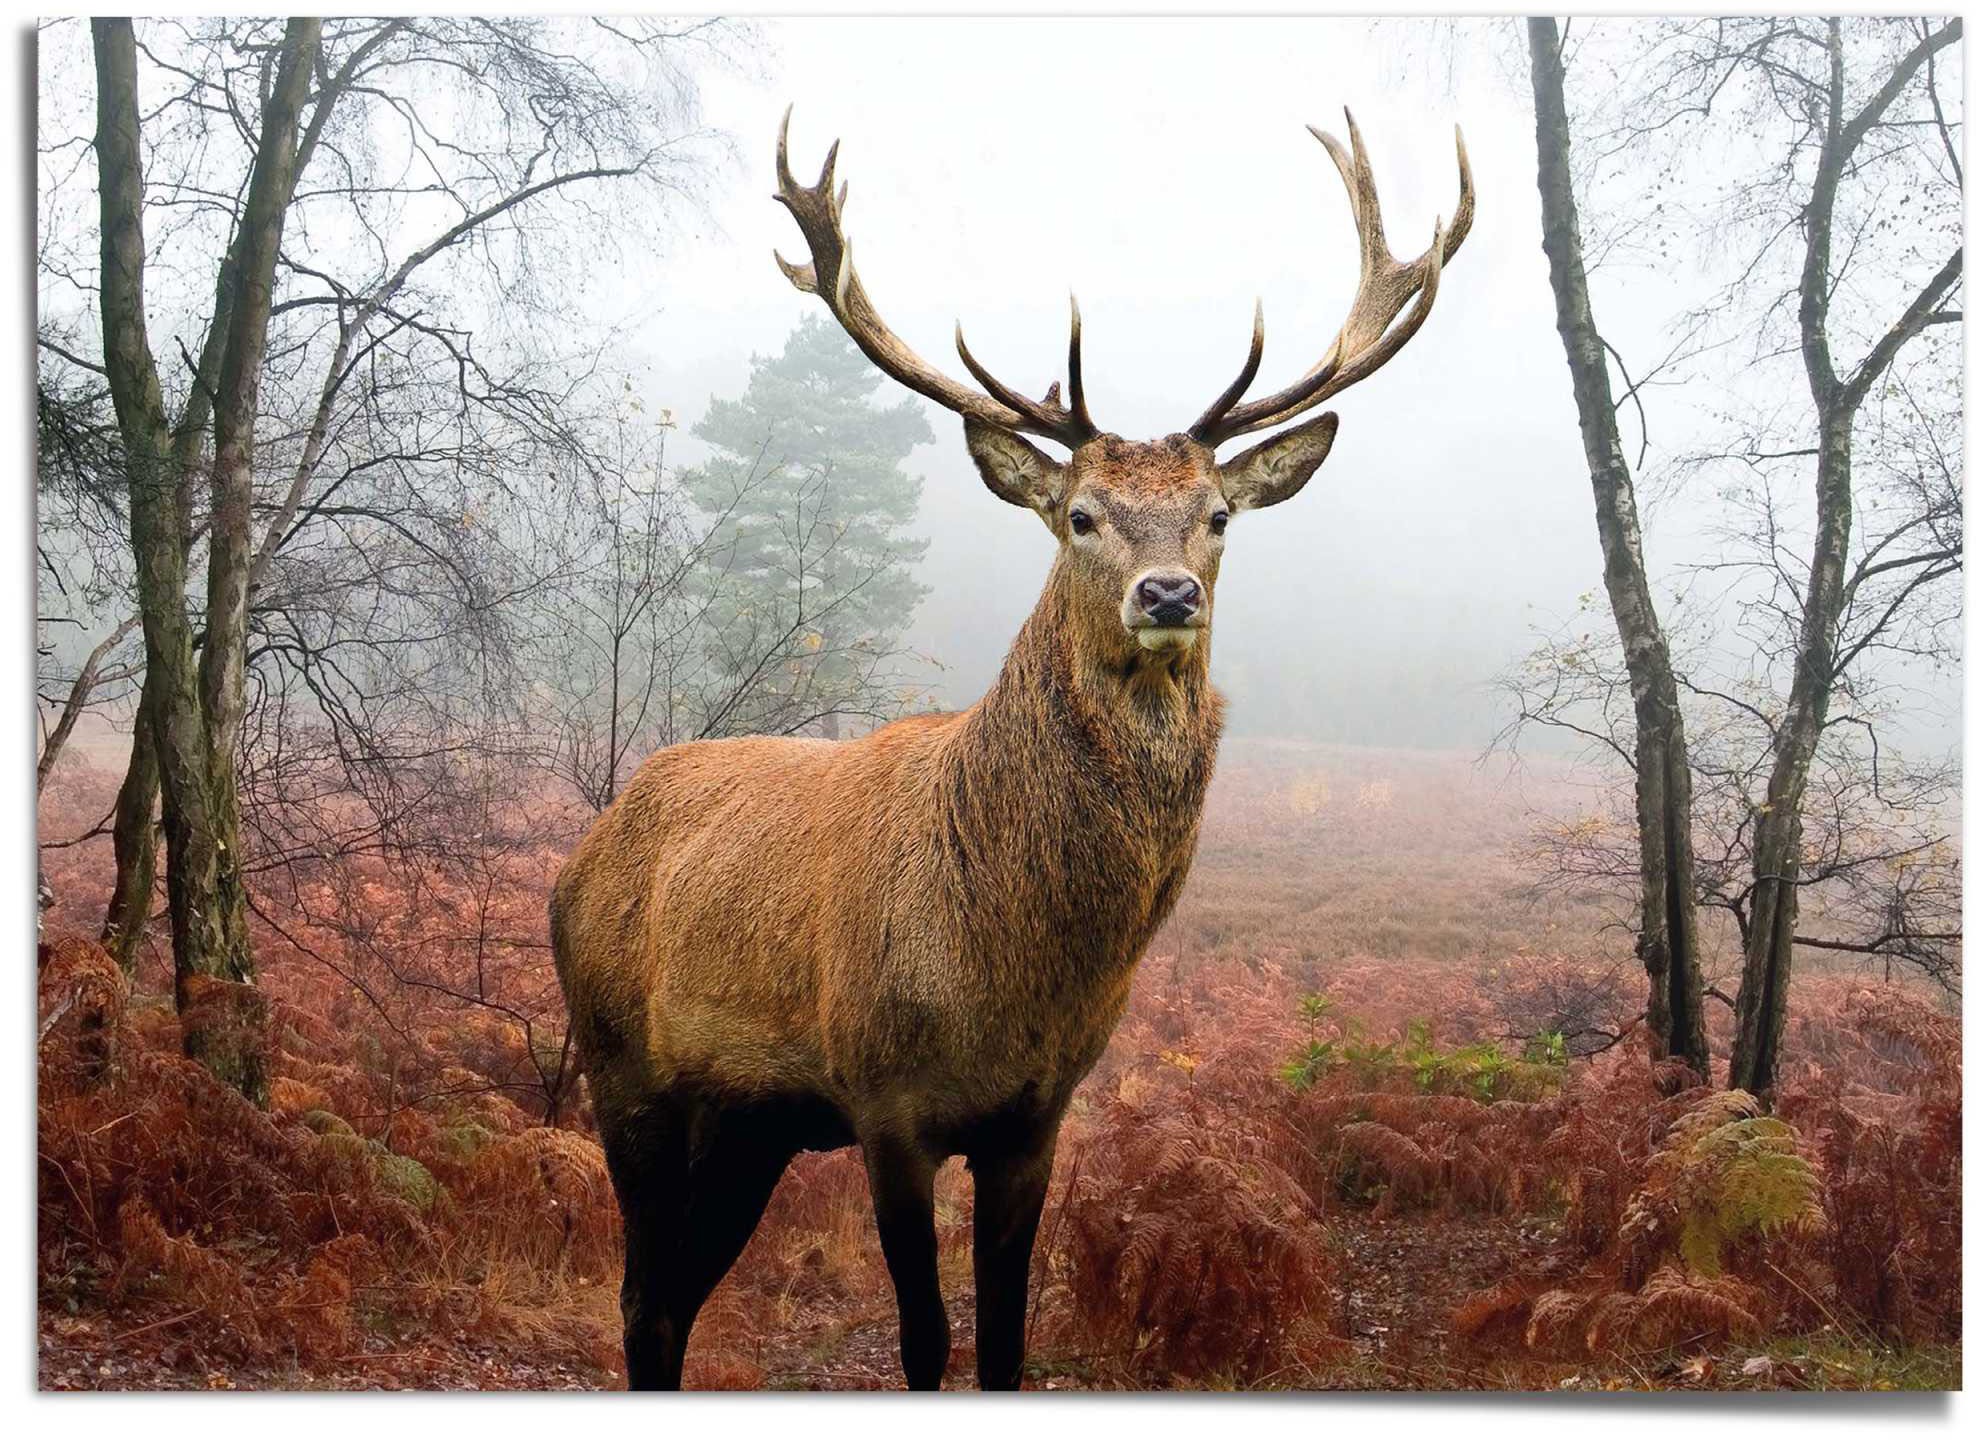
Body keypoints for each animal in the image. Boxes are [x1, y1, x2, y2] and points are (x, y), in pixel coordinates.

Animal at [550, 106, 1473, 1391]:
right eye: (1078, 515)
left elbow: (1004, 1344)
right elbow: (924, 1343)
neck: (1008, 968)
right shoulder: (883, 1100)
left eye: (1218, 517)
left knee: (674, 1301)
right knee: (641, 1297)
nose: (1168, 593)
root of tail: (582, 854)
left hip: (747, 1122)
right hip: (621, 1067)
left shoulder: (1033, 1118)